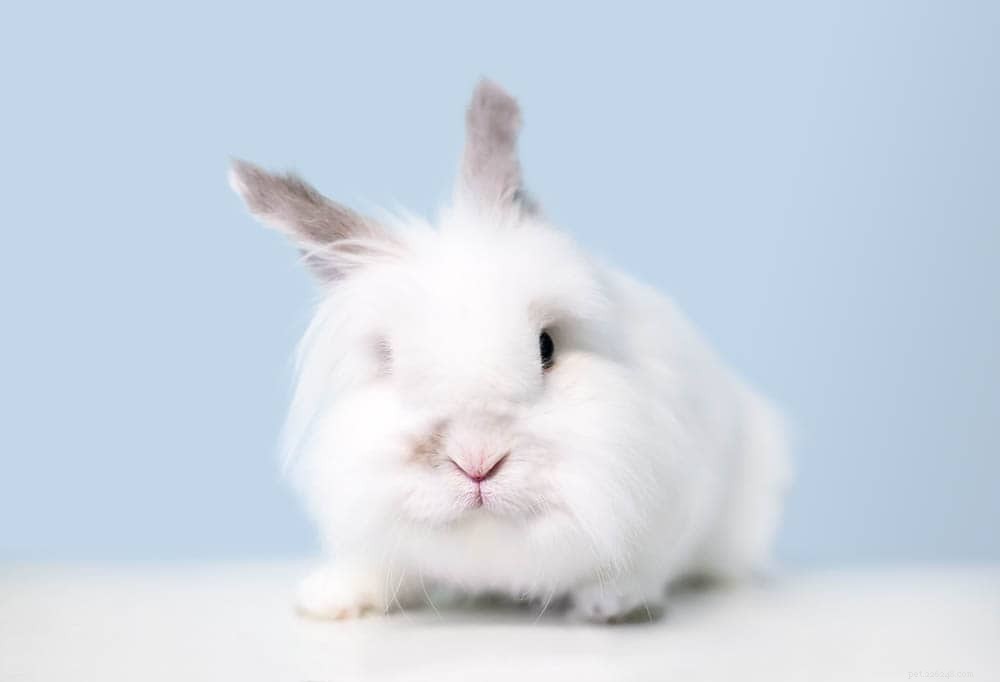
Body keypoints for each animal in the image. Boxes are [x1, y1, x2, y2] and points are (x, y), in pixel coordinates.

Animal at [229, 79, 791, 623]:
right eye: (390, 361)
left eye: (546, 346)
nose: (477, 462)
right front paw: (329, 598)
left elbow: (644, 564)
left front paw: (609, 602)